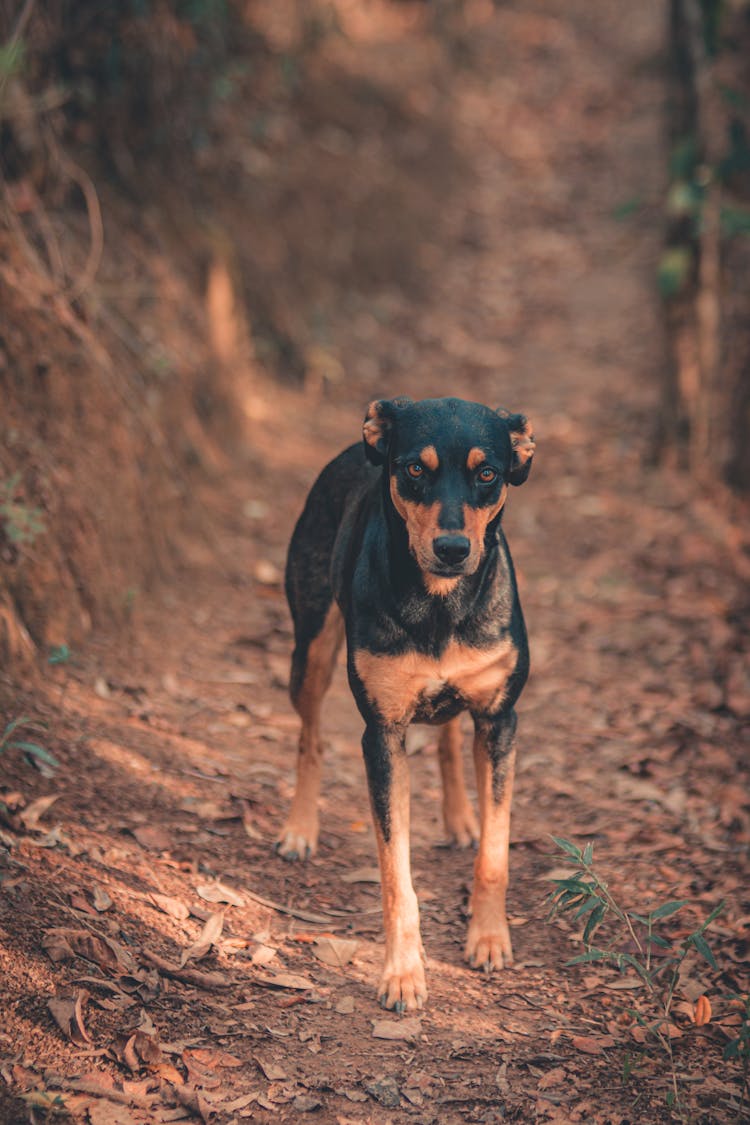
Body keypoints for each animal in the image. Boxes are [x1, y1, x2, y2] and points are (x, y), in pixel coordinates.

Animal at [275, 396, 532, 1012]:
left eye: (488, 474)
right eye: (415, 468)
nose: (453, 549)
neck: (441, 604)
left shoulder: (501, 720)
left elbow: (495, 854)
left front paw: (489, 938)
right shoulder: (382, 734)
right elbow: (397, 876)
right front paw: (402, 973)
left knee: (449, 737)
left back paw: (460, 817)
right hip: (311, 644)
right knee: (309, 737)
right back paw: (300, 828)